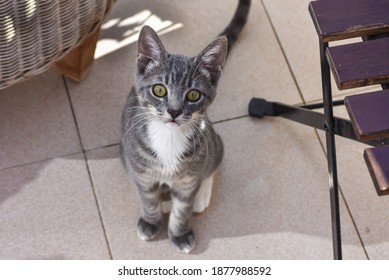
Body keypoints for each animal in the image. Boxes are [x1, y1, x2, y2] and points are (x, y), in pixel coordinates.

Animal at [119, 0, 250, 254]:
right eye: (159, 90)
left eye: (193, 95)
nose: (174, 111)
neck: (168, 137)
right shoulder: (142, 171)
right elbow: (147, 198)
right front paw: (151, 222)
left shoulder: (189, 177)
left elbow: (183, 207)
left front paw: (180, 233)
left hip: (212, 141)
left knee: (214, 160)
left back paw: (202, 195)